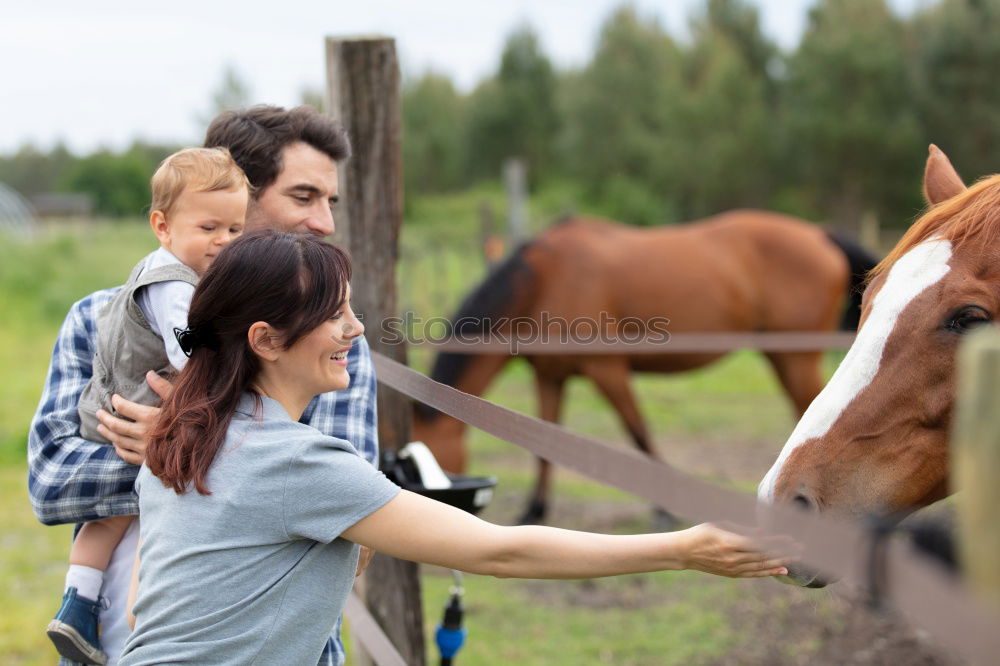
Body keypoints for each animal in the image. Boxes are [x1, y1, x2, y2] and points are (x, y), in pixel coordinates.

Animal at [414, 209, 876, 524]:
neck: (545, 281)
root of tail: (819, 234)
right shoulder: (550, 377)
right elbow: (543, 444)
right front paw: (534, 510)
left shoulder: (608, 373)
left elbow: (638, 434)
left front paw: (665, 506)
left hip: (794, 358)